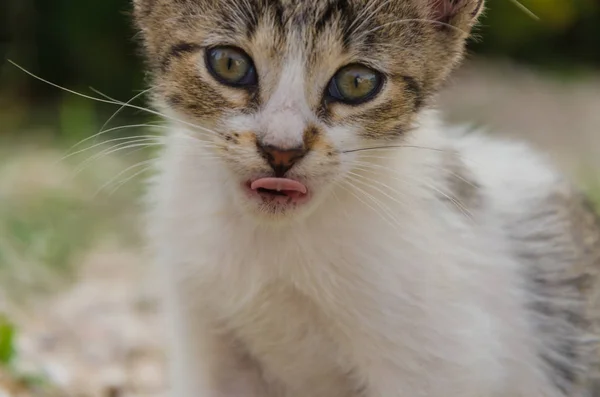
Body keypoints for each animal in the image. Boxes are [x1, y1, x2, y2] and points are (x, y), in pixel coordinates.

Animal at [134, 0, 600, 396]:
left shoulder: (443, 361)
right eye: (229, 64)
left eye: (357, 82)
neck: (274, 240)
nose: (282, 149)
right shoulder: (206, 333)